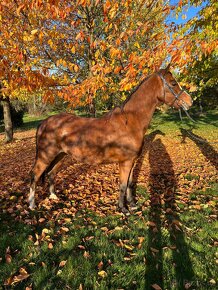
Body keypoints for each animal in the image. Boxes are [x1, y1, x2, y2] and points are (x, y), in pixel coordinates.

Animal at [28, 67, 192, 214]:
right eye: (173, 83)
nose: (189, 101)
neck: (130, 122)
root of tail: (44, 123)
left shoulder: (132, 161)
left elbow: (130, 183)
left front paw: (132, 204)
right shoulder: (125, 162)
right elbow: (123, 185)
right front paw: (123, 209)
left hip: (60, 156)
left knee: (50, 173)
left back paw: (53, 196)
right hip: (45, 156)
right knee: (34, 175)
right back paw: (32, 205)